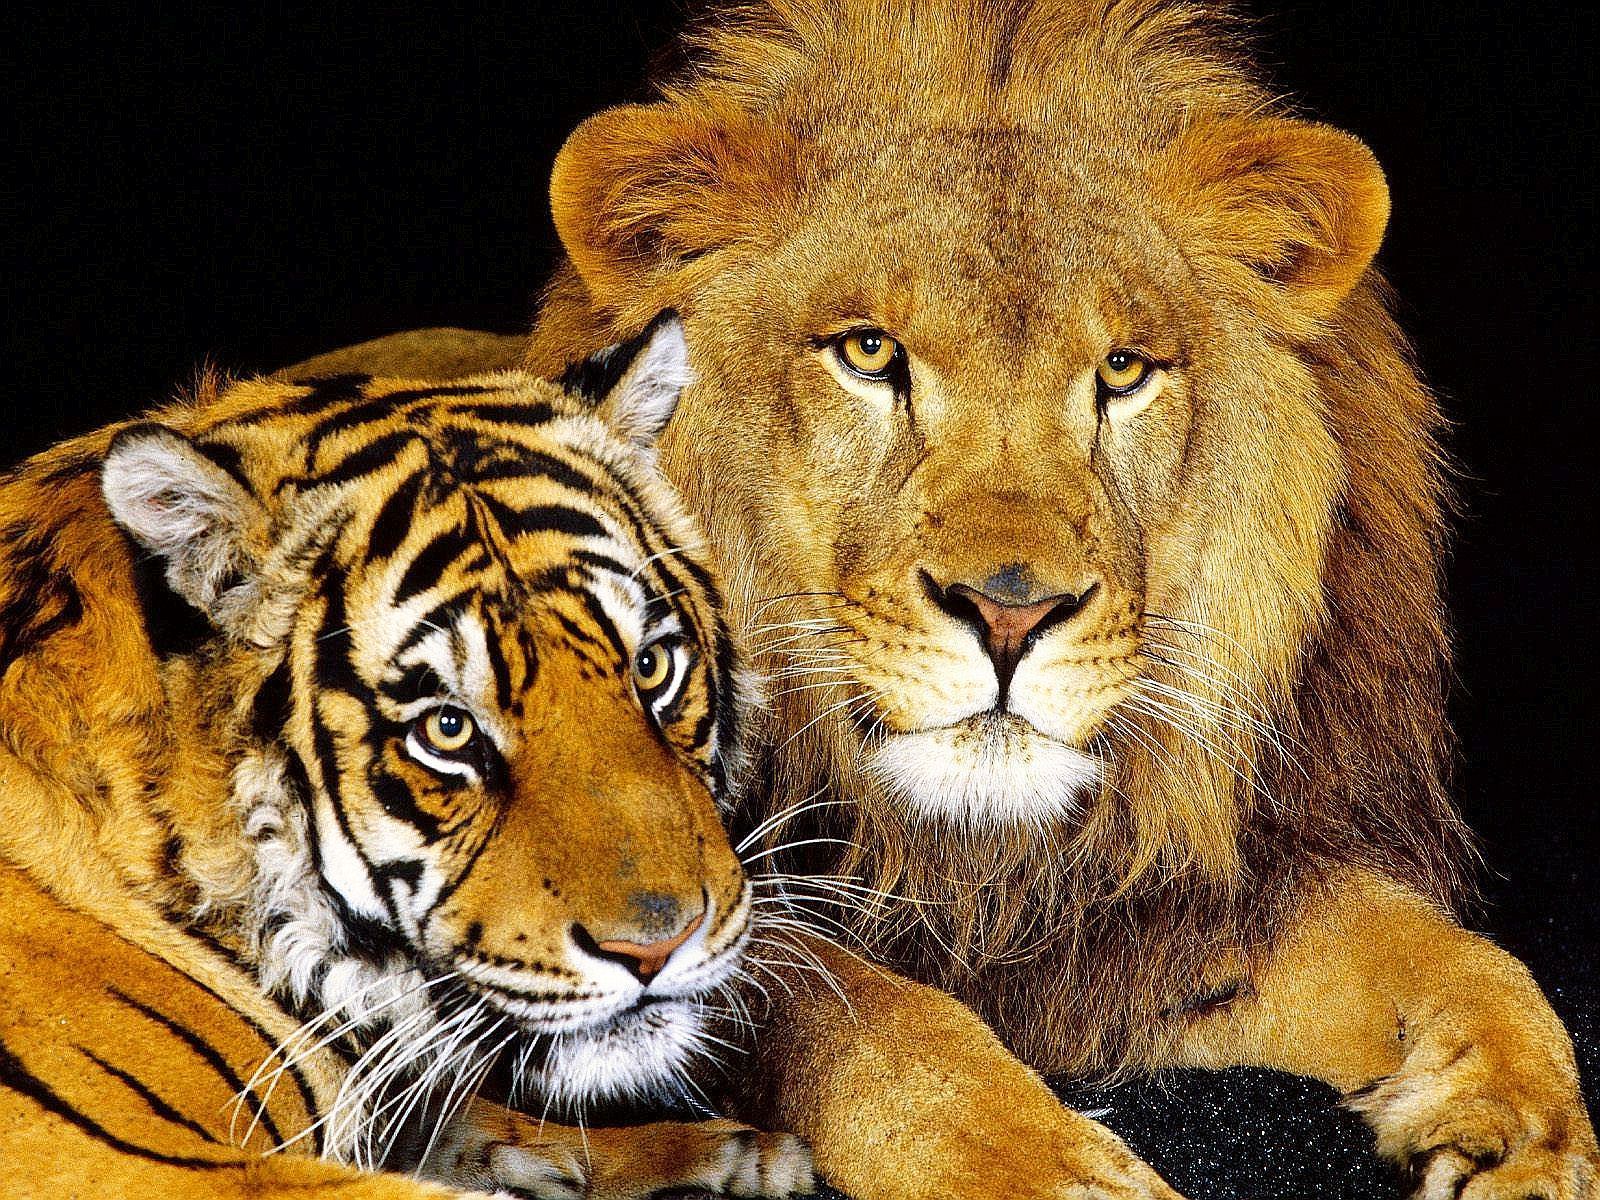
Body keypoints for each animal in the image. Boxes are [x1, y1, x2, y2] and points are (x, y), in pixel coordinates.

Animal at [289, 1, 1597, 1197]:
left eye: (1122, 370)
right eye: (868, 353)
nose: (1010, 612)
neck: (971, 857)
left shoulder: (1155, 913)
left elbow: (1457, 961)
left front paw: (1523, 1134)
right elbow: (867, 1018)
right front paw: (1040, 1166)